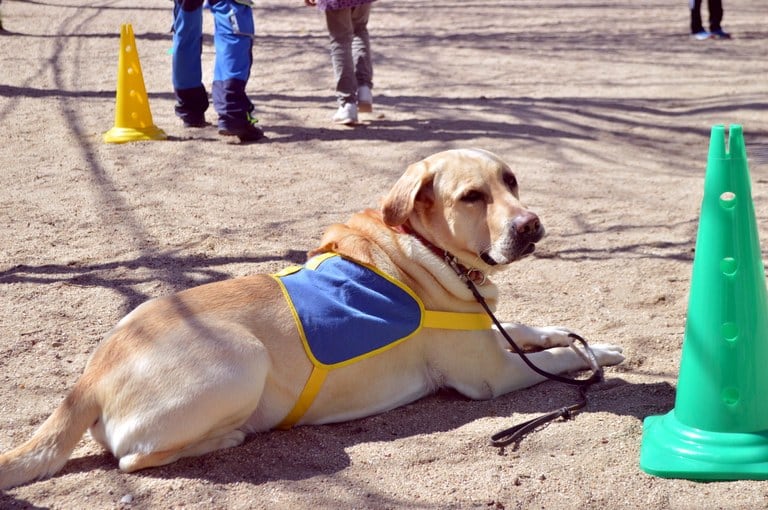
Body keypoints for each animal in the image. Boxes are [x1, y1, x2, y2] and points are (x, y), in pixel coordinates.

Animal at [0, 148, 624, 490]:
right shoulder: (491, 374)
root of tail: (87, 379)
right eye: (472, 196)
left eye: (511, 181)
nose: (532, 225)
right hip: (242, 357)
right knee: (132, 458)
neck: (426, 250)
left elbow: (533, 329)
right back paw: (228, 437)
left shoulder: (492, 335)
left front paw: (587, 340)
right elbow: (554, 357)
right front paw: (594, 355)